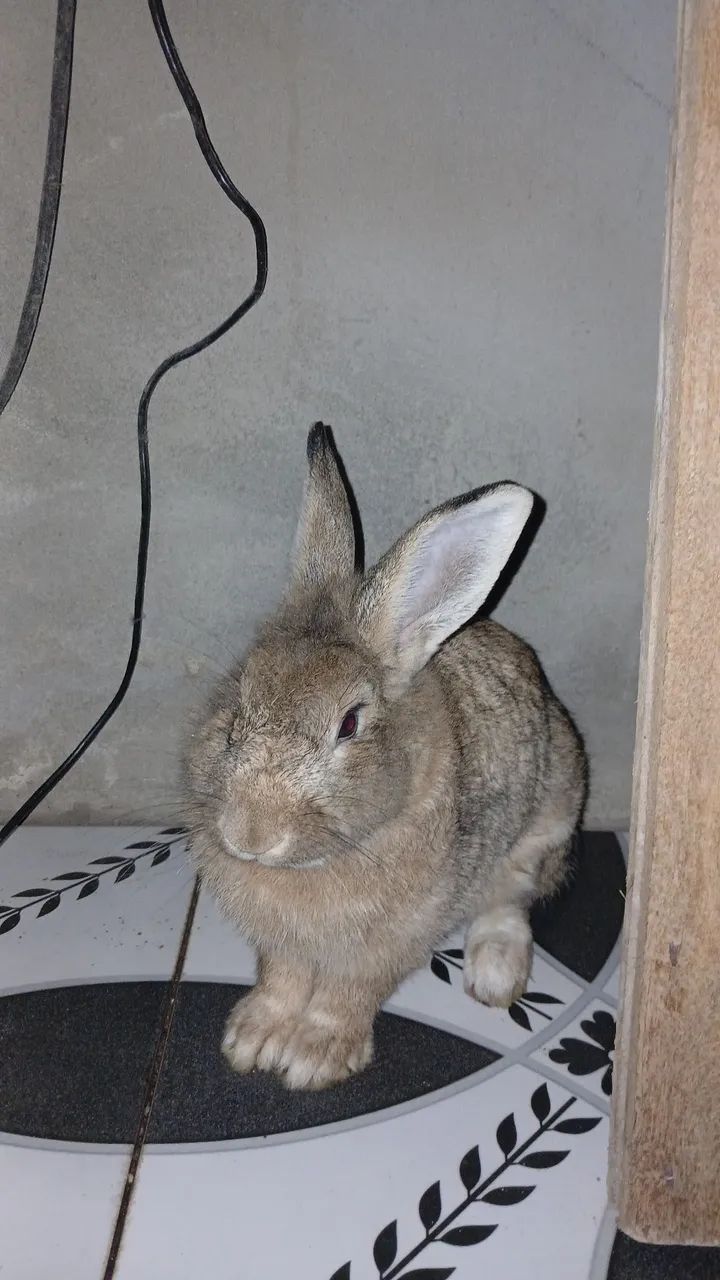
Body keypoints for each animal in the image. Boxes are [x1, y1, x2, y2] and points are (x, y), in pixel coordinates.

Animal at [184, 422, 588, 1090]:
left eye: (349, 724)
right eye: (240, 701)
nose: (250, 834)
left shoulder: (392, 939)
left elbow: (348, 992)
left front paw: (313, 1058)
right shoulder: (283, 944)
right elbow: (281, 978)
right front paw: (253, 1040)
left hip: (542, 828)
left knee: (509, 901)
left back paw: (494, 975)